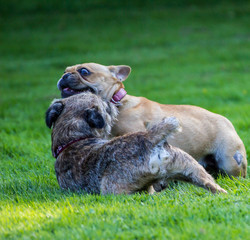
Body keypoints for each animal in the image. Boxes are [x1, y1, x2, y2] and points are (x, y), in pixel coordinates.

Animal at [45, 92, 227, 195]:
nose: (110, 102)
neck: (72, 138)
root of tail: (149, 138)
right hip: (192, 167)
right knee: (212, 185)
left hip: (113, 188)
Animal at [57, 62, 247, 178]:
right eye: (65, 70)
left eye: (84, 71)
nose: (64, 76)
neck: (116, 104)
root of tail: (229, 123)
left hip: (230, 160)